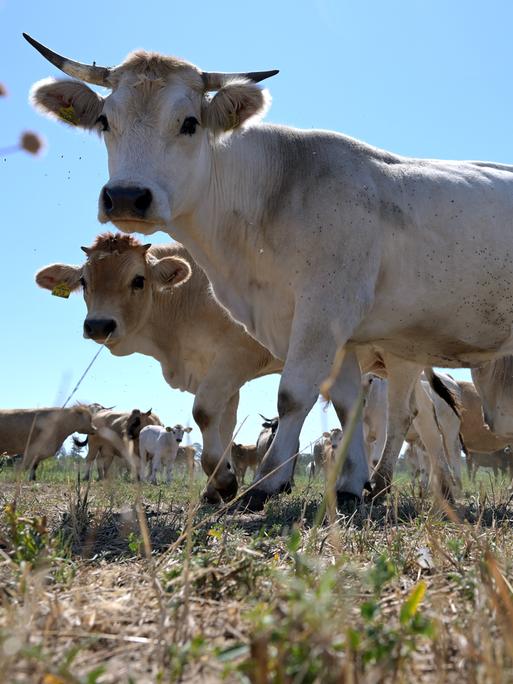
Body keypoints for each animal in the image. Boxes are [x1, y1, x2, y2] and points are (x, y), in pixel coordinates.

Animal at [36, 232, 281, 501]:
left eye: (138, 280)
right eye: (83, 280)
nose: (98, 325)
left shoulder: (238, 358)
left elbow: (204, 413)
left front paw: (225, 482)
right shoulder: (215, 372)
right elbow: (224, 425)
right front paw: (214, 487)